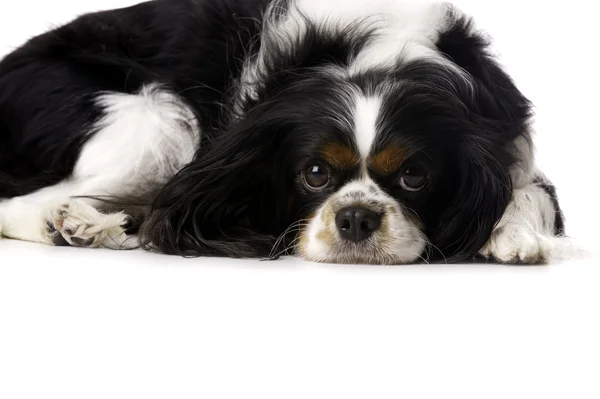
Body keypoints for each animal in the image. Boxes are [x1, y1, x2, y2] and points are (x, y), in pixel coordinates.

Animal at [0, 0, 564, 266]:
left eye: (413, 176)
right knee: (21, 204)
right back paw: (73, 225)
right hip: (158, 126)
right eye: (314, 173)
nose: (355, 218)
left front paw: (513, 234)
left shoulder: (512, 149)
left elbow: (523, 195)